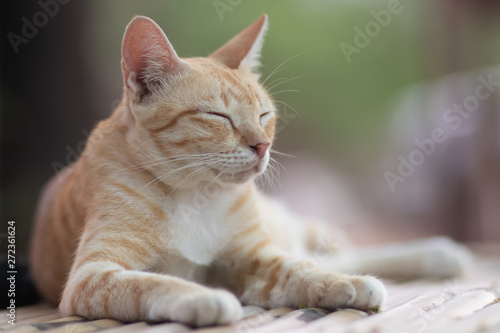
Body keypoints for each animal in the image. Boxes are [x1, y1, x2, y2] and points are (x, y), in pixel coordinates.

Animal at [31, 14, 468, 326]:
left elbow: (303, 270)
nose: (262, 145)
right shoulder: (93, 275)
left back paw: (437, 254)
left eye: (264, 115)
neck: (194, 197)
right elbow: (151, 282)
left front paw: (345, 286)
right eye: (218, 116)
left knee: (336, 253)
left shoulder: (253, 259)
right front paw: (202, 297)